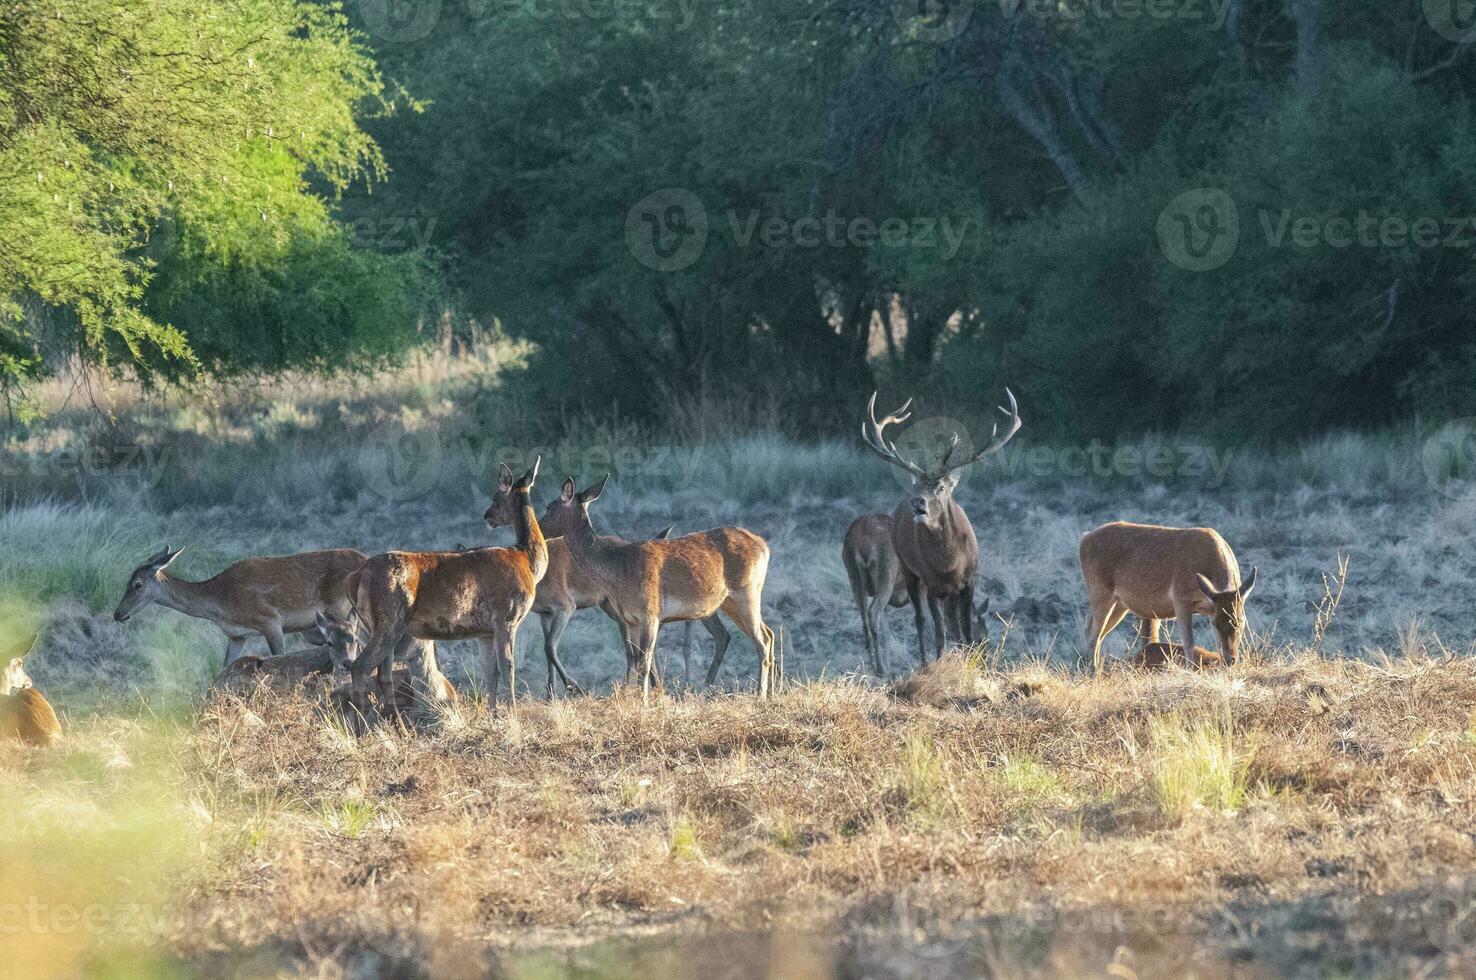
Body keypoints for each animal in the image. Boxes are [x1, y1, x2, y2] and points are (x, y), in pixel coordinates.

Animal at [113, 543, 367, 667]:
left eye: (137, 584)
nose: (118, 614)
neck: (220, 602)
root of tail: (366, 559)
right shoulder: (236, 635)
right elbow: (224, 666)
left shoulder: (270, 620)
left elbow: (279, 658)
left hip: (342, 609)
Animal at [345, 460, 549, 720]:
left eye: (494, 498)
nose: (487, 516)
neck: (528, 562)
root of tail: (355, 577)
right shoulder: (507, 617)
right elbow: (508, 668)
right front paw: (512, 715)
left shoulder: (485, 631)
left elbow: (490, 671)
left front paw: (494, 715)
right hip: (389, 617)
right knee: (360, 667)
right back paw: (362, 725)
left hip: (375, 625)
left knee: (384, 674)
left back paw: (396, 724)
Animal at [540, 475, 773, 699]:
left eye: (549, 507)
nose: (538, 529)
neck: (618, 571)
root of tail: (764, 546)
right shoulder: (631, 619)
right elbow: (635, 660)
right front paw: (633, 700)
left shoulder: (650, 613)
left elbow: (644, 662)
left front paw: (643, 702)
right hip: (728, 602)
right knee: (767, 633)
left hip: (747, 591)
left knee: (761, 641)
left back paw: (759, 696)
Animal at [861, 389, 1021, 667]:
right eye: (916, 486)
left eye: (942, 487)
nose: (917, 502)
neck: (949, 564)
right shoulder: (932, 584)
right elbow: (939, 633)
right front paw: (942, 664)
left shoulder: (969, 581)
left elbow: (965, 630)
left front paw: (971, 663)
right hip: (908, 572)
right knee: (920, 620)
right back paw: (925, 663)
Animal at [1080, 525, 1263, 678]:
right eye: (1214, 623)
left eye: (1241, 620)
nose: (1230, 659)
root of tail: (1084, 538)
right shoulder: (1180, 599)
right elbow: (1189, 643)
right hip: (1099, 592)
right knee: (1092, 634)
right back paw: (1093, 674)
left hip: (1120, 604)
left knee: (1095, 632)